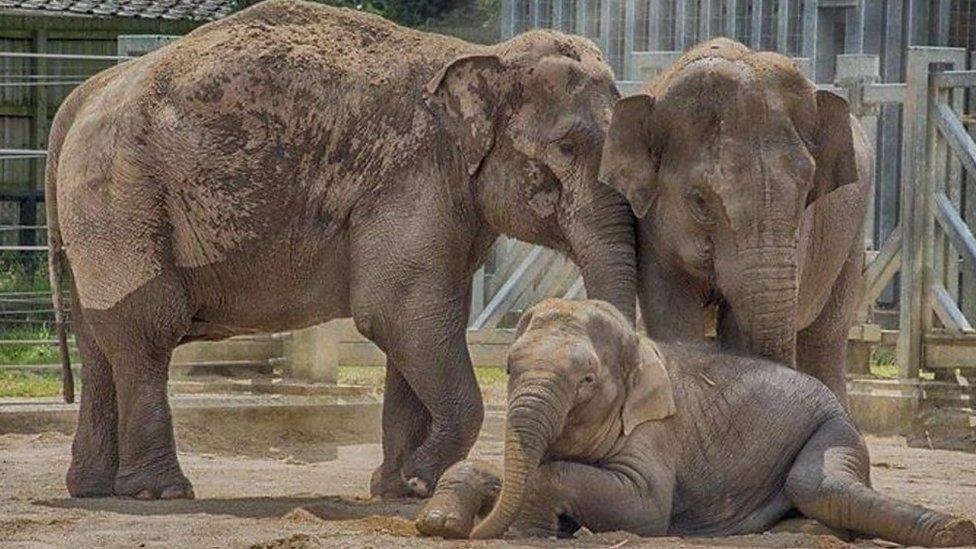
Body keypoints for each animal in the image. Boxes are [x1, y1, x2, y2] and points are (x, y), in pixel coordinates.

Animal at [47, 0, 640, 500]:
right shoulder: (411, 179)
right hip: (123, 200)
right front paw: (419, 482)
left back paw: (92, 489)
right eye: (567, 146)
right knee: (146, 328)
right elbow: (400, 315)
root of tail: (86, 92)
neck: (478, 55)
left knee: (98, 337)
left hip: (101, 215)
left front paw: (396, 487)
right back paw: (160, 493)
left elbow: (421, 324)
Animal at [414, 300, 976, 548]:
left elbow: (644, 507)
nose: (472, 535)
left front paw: (535, 530)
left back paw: (952, 532)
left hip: (834, 431)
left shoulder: (654, 434)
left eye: (587, 379)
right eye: (508, 369)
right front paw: (438, 523)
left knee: (819, 486)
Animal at [600, 36, 872, 400]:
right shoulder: (650, 231)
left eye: (807, 196)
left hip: (852, 237)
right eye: (700, 202)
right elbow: (673, 317)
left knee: (825, 341)